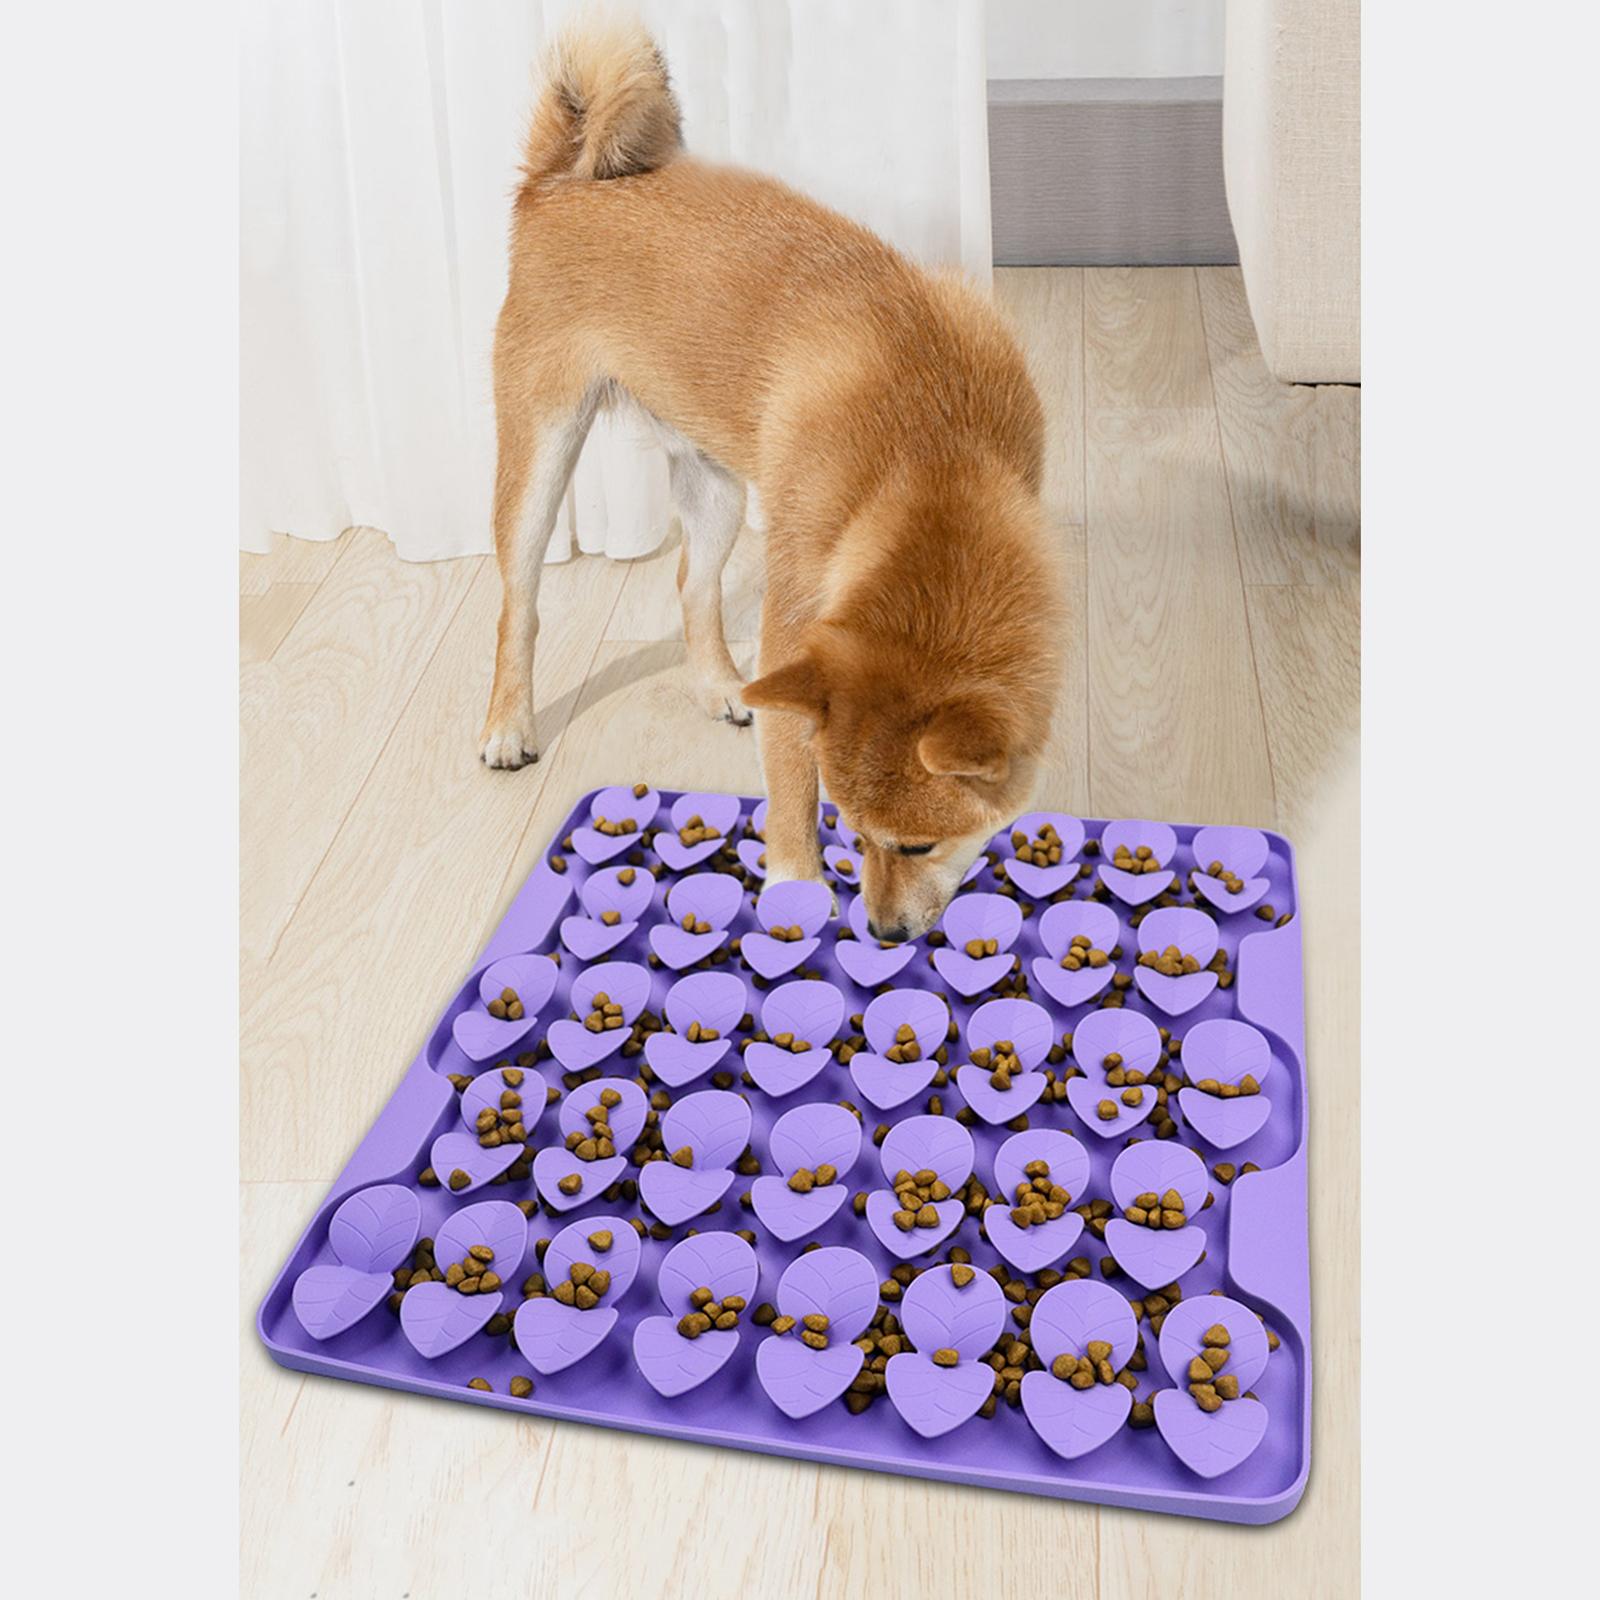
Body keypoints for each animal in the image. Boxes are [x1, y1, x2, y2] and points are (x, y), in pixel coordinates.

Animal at [482, 18, 1064, 939]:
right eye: (850, 830)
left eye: (918, 846)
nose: (885, 933)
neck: (931, 454)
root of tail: (560, 182)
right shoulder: (798, 617)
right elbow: (788, 778)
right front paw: (794, 880)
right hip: (542, 452)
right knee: (520, 603)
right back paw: (509, 724)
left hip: (718, 489)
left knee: (691, 584)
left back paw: (724, 685)